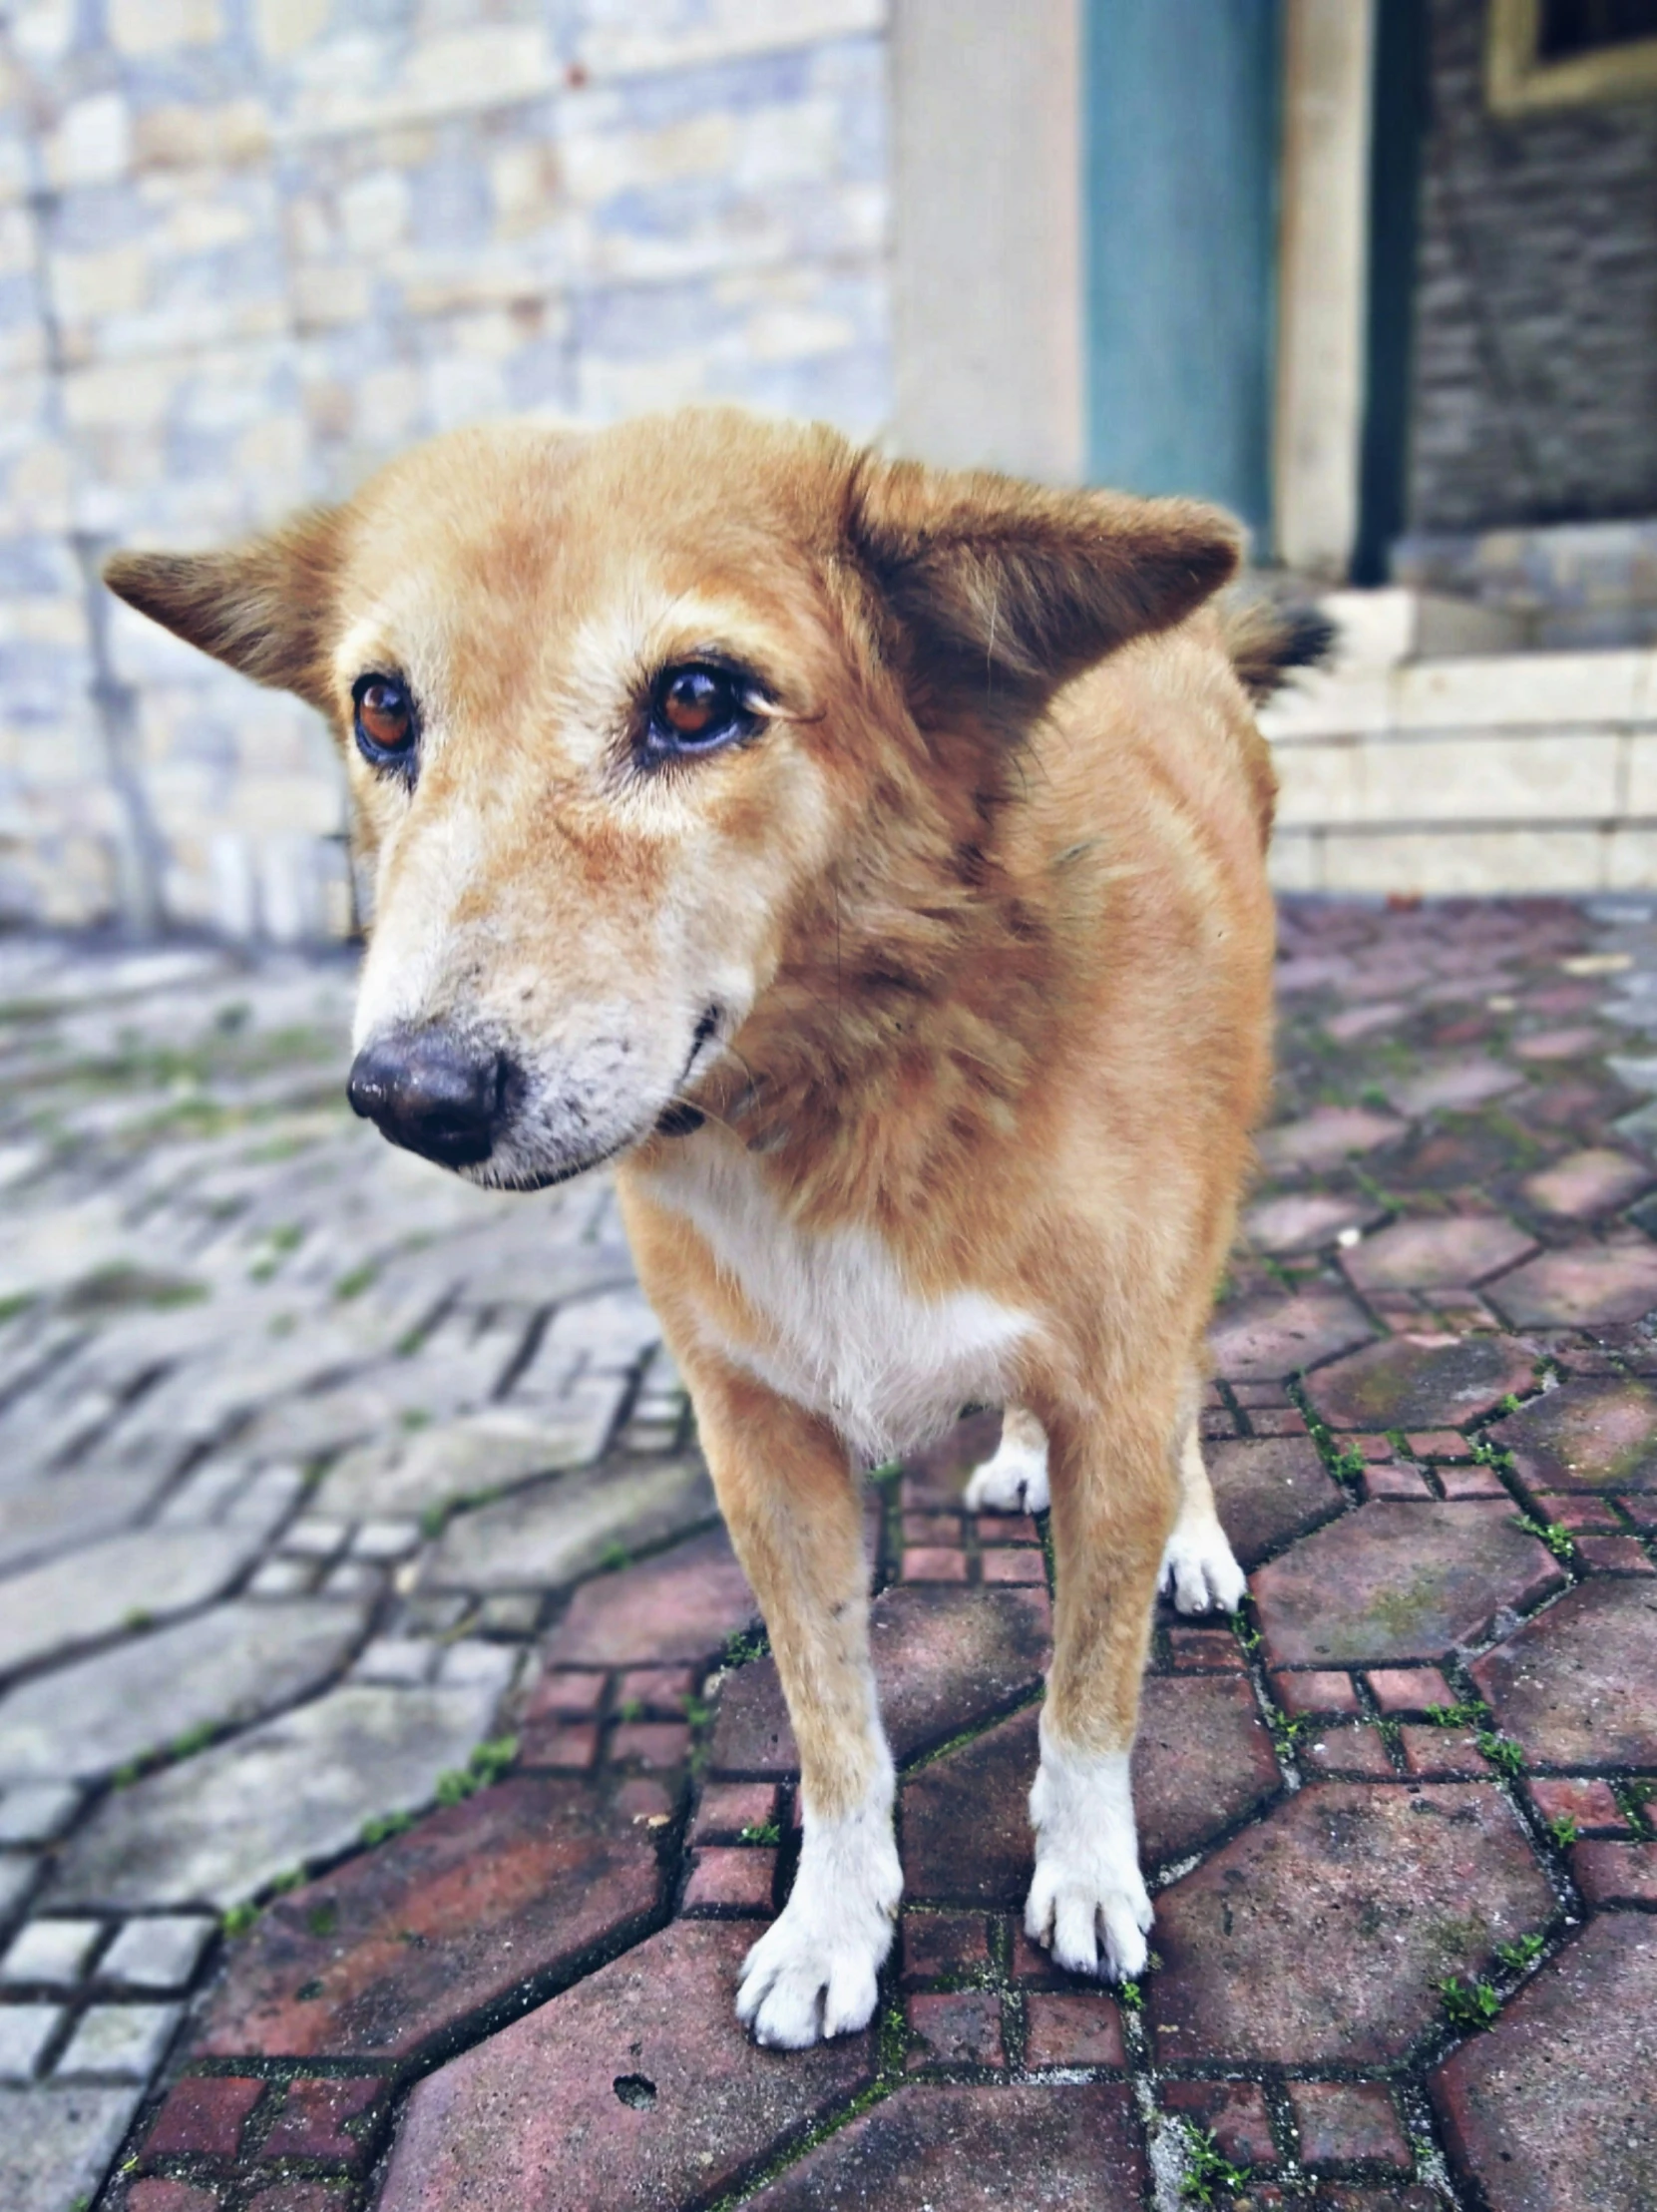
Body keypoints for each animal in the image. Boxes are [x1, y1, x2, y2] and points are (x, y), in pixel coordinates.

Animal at [110, 411, 1309, 2052]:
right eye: (381, 711)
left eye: (693, 700)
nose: (410, 1096)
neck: (839, 1090)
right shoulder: (758, 1441)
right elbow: (830, 1727)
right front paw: (833, 1924)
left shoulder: (1113, 1383)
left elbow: (1087, 1696)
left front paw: (1082, 1873)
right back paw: (1013, 1457)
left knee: (1184, 1393)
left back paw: (1186, 1536)